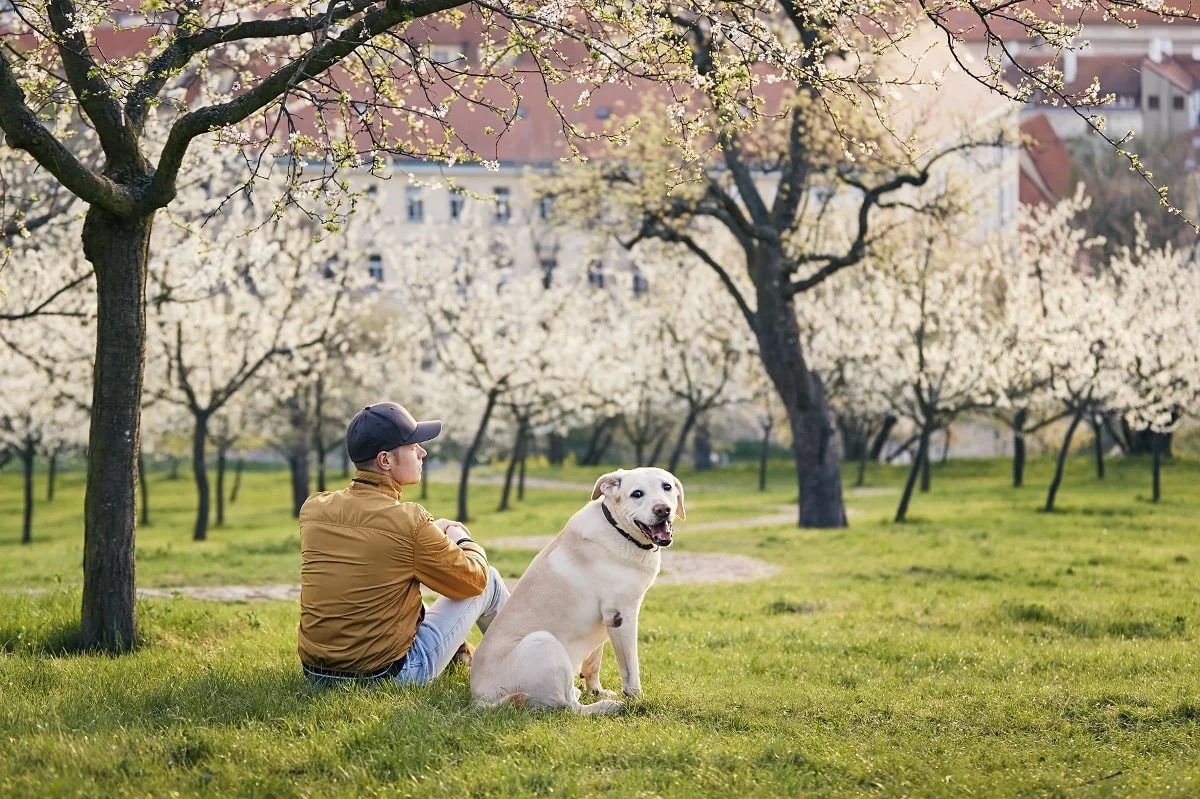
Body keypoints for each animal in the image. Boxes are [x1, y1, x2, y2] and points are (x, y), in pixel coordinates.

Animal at [472, 463, 691, 710]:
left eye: (667, 487)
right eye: (637, 494)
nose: (663, 509)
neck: (619, 531)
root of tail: (479, 699)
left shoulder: (605, 621)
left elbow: (593, 662)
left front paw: (596, 690)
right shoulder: (621, 617)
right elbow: (630, 670)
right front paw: (636, 699)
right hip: (542, 641)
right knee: (569, 706)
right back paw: (606, 708)